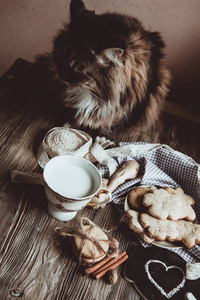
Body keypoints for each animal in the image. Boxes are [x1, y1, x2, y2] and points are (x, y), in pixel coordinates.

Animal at [36, 0, 170, 141]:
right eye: (61, 59)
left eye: (79, 72)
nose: (62, 77)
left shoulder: (126, 108)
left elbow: (107, 124)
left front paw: (100, 138)